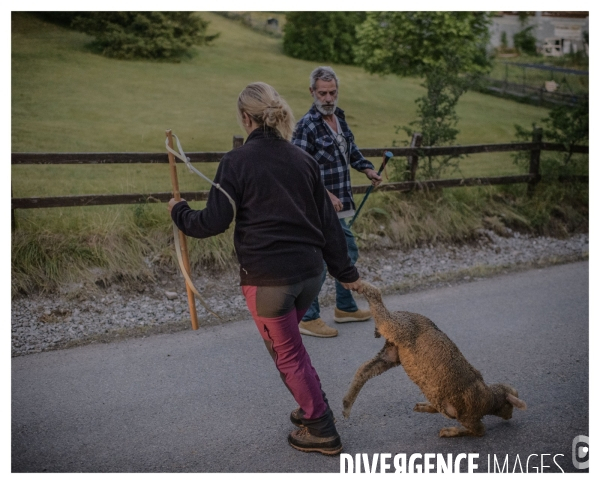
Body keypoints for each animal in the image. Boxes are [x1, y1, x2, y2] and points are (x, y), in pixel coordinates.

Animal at [342, 282, 524, 436]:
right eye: (510, 405)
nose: (510, 417)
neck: (491, 399)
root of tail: (407, 314)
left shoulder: (444, 403)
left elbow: (437, 408)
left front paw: (423, 407)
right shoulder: (469, 418)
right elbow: (479, 431)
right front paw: (449, 431)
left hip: (393, 352)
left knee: (363, 370)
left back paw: (346, 405)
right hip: (398, 328)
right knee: (377, 298)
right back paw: (360, 284)